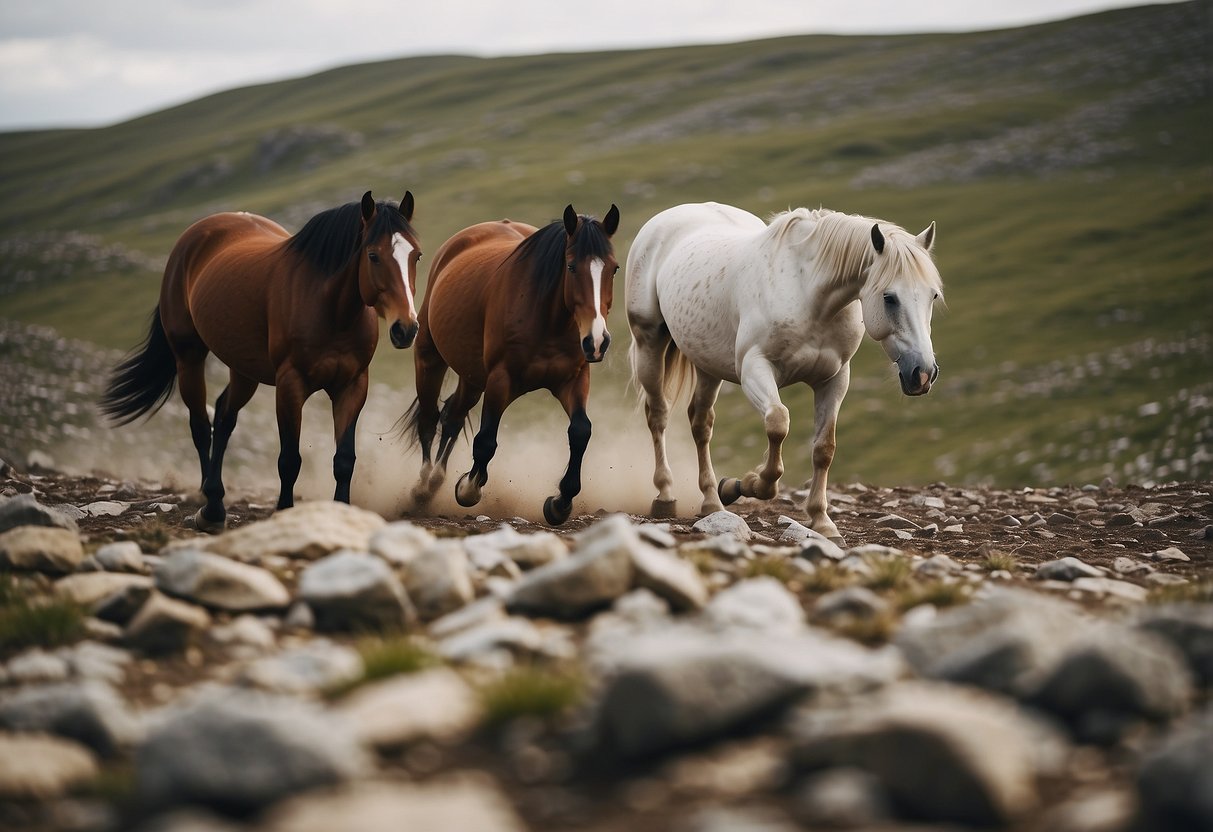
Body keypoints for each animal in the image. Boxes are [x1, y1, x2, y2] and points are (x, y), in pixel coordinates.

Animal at [100, 192, 422, 531]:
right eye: (373, 256)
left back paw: (214, 497)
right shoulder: (290, 384)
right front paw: (284, 512)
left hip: (244, 370)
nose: (406, 328)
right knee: (200, 425)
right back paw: (210, 507)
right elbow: (289, 460)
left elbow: (344, 460)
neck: (328, 307)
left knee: (224, 417)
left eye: (417, 256)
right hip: (189, 357)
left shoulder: (352, 385)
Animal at [405, 204, 621, 523]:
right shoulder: (500, 379)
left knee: (452, 416)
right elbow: (485, 441)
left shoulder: (574, 379)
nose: (597, 341)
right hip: (429, 358)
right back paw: (422, 487)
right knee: (429, 420)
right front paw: (467, 488)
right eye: (571, 267)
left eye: (614, 268)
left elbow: (580, 431)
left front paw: (560, 502)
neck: (547, 320)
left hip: (472, 377)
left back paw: (434, 482)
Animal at [625, 200, 946, 540]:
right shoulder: (754, 369)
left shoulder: (834, 379)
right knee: (658, 415)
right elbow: (778, 423)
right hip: (649, 343)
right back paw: (666, 494)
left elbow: (824, 448)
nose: (923, 373)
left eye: (933, 295)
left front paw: (821, 520)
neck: (808, 293)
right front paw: (750, 484)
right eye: (889, 297)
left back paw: (713, 500)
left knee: (701, 424)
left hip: (707, 363)